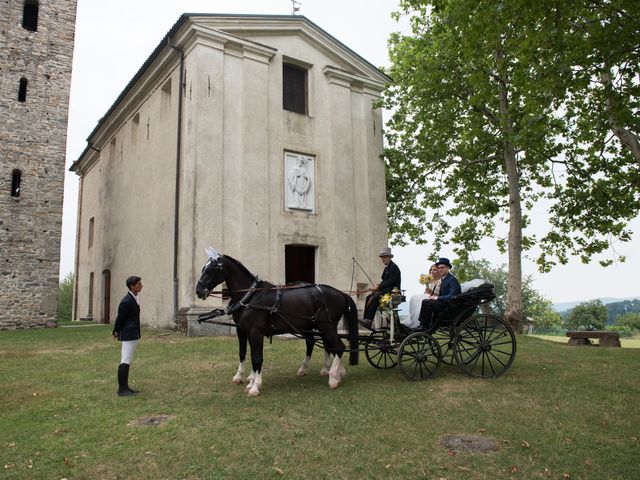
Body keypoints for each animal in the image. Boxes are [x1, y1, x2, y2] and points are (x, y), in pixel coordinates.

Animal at [194, 249, 360, 396]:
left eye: (211, 269)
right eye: (203, 268)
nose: (198, 291)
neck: (250, 296)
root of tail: (342, 294)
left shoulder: (256, 332)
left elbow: (257, 358)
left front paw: (255, 386)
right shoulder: (243, 330)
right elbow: (244, 354)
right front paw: (246, 379)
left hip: (327, 327)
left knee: (339, 347)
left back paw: (333, 377)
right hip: (317, 326)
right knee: (325, 345)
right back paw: (335, 372)